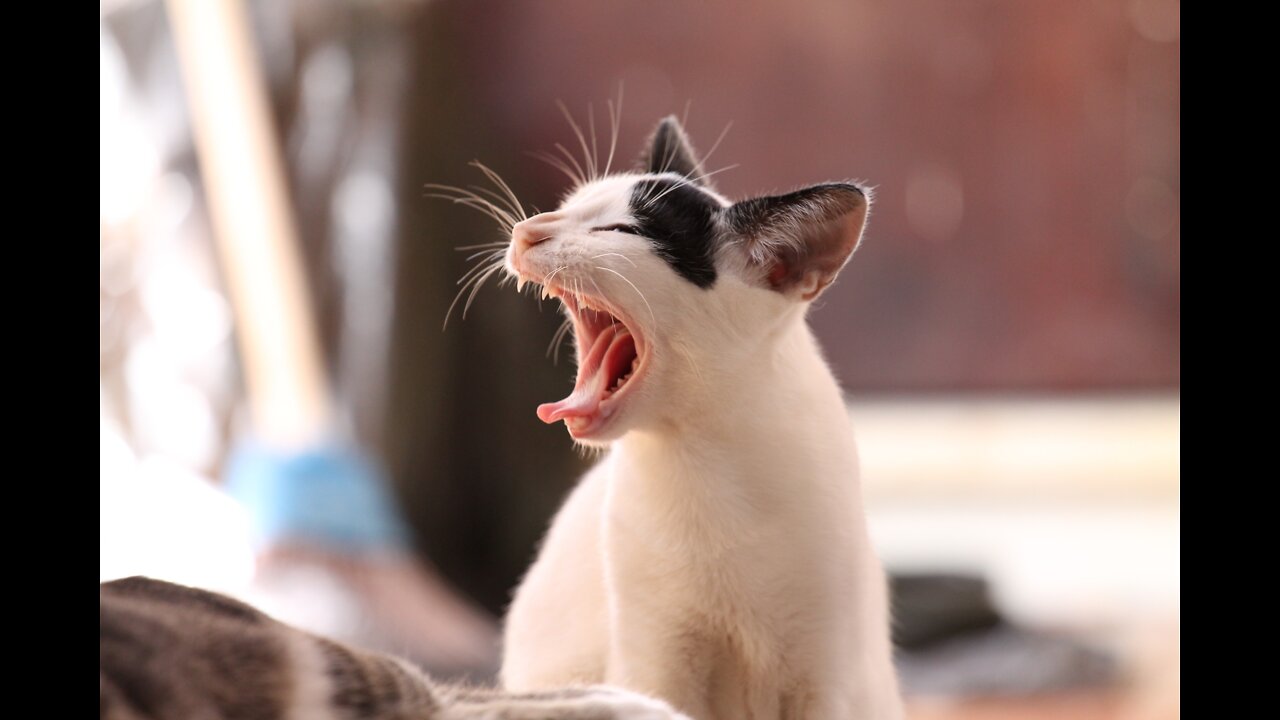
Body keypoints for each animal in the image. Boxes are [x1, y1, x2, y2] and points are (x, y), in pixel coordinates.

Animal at [486, 114, 901, 712]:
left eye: (619, 231)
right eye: (568, 205)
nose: (527, 230)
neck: (699, 460)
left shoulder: (825, 679)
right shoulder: (656, 663)